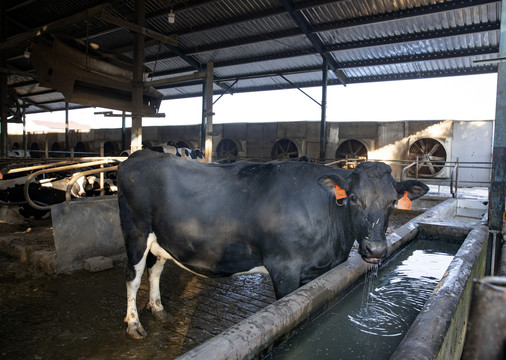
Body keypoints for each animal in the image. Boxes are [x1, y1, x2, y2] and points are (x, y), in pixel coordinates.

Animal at [116, 150, 428, 340]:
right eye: (352, 198)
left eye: (392, 201)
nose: (376, 250)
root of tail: (141, 154)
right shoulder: (285, 268)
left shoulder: (320, 272)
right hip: (135, 232)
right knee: (132, 276)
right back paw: (133, 324)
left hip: (162, 238)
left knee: (156, 269)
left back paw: (158, 309)